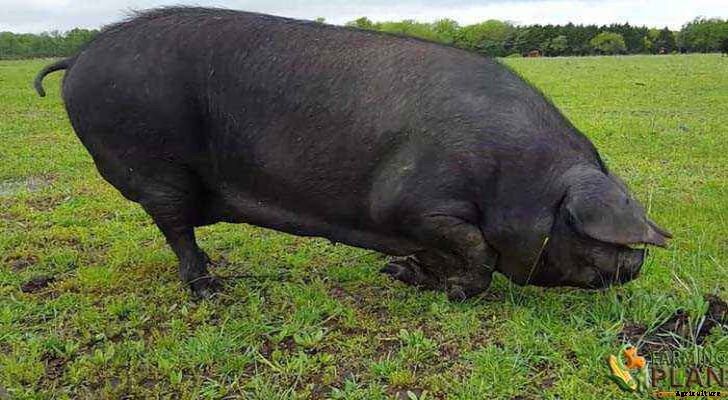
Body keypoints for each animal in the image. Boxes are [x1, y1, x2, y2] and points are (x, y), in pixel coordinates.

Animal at [35, 7, 671, 300]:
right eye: (583, 228)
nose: (638, 264)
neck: (517, 181)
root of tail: (80, 56)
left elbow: (448, 252)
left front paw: (403, 272)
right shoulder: (412, 203)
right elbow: (478, 250)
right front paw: (446, 288)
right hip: (152, 163)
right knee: (175, 227)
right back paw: (212, 287)